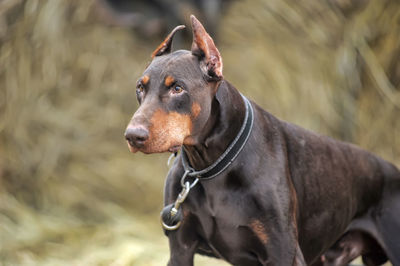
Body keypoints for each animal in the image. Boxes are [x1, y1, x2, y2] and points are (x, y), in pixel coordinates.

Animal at [125, 15, 400, 264]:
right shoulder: (181, 248)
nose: (132, 136)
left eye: (177, 88)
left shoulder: (283, 252)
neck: (214, 163)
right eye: (140, 87)